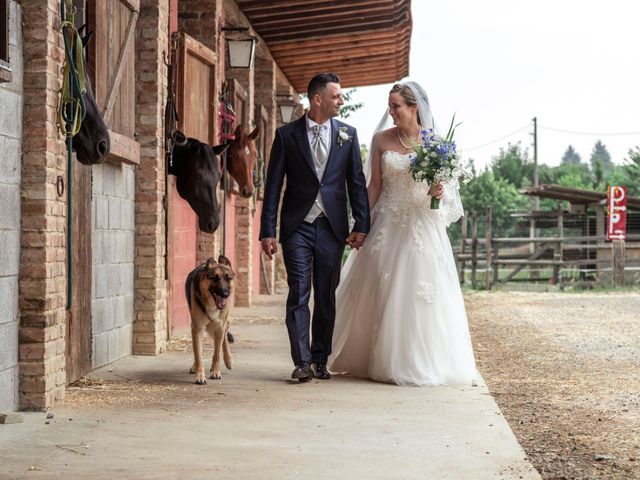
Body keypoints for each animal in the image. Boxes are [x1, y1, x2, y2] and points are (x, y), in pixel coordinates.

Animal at [185, 256, 235, 384]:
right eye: (214, 278)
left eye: (228, 278)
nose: (225, 294)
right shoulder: (197, 329)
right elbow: (198, 355)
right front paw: (200, 376)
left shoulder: (220, 328)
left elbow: (217, 353)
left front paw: (216, 372)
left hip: (224, 324)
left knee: (224, 341)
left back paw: (228, 360)